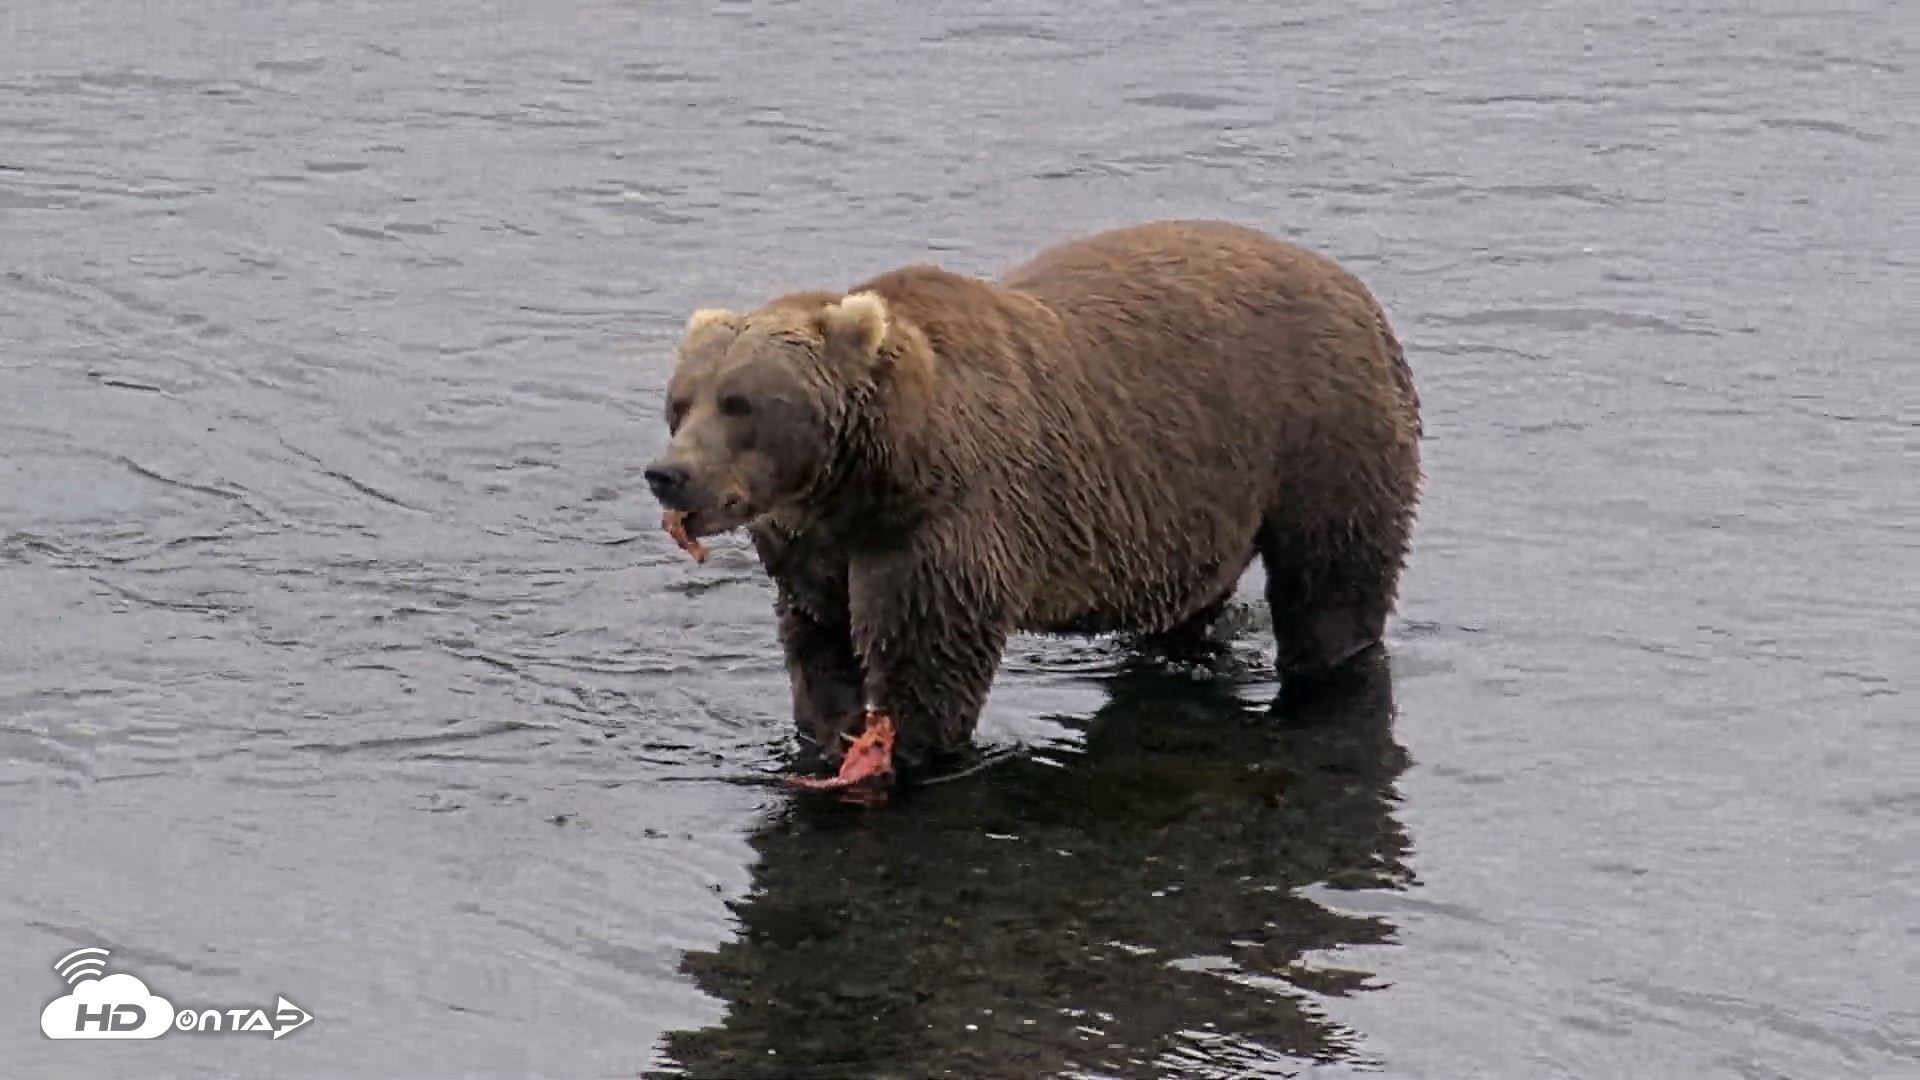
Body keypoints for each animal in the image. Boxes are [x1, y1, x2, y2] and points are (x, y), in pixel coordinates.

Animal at [644, 219, 1422, 794]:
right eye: (680, 402)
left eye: (741, 403)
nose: (668, 474)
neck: (873, 476)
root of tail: (1348, 281)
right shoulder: (819, 550)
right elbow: (819, 644)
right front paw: (827, 735)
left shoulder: (947, 527)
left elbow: (929, 660)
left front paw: (906, 753)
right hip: (1200, 499)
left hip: (1321, 432)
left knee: (1333, 583)